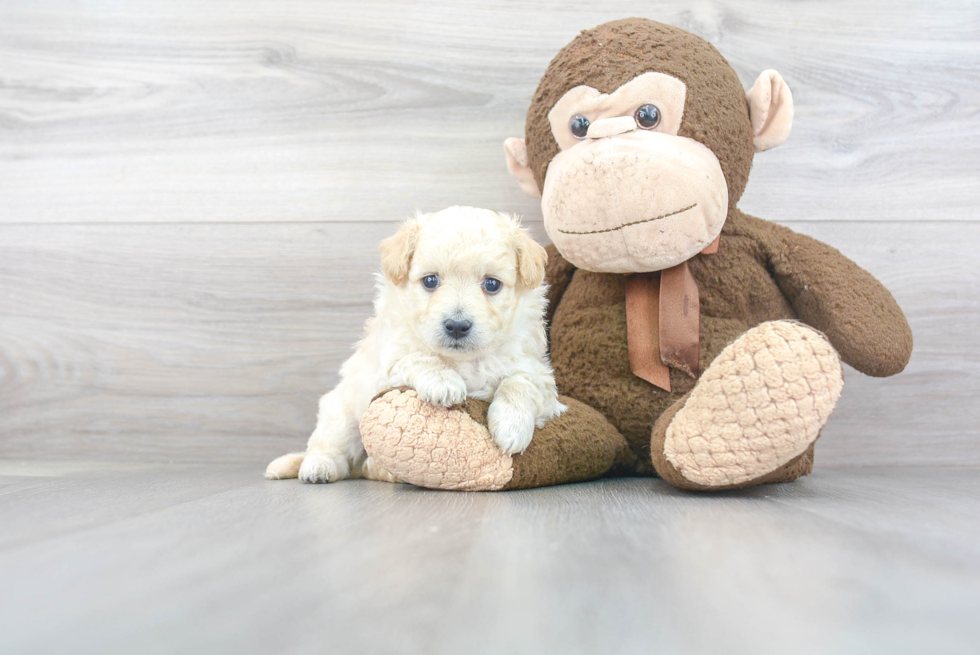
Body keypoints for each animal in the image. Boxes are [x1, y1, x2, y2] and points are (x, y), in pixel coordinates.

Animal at [264, 208, 568, 484]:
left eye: (492, 284)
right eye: (430, 280)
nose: (457, 326)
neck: (463, 360)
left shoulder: (538, 373)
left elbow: (520, 383)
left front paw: (511, 427)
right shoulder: (388, 365)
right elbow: (419, 356)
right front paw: (444, 382)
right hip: (341, 411)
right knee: (330, 447)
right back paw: (318, 468)